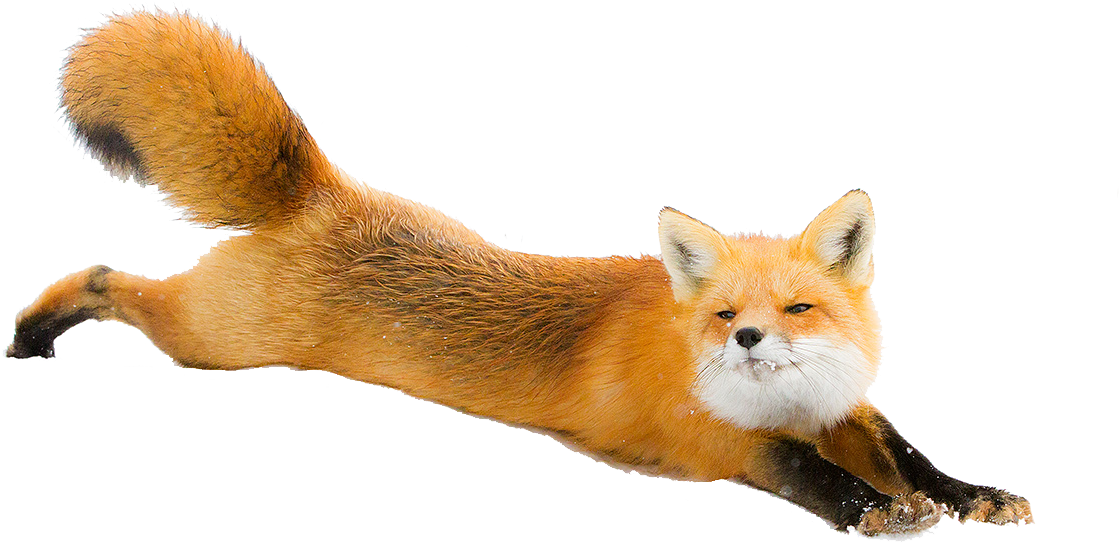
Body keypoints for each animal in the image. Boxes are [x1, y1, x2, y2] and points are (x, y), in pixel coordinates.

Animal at [7, 8, 1033, 539]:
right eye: (722, 315)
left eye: (798, 306)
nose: (747, 337)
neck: (782, 400)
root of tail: (322, 190)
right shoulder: (717, 439)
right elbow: (801, 472)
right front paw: (877, 511)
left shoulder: (842, 409)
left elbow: (912, 454)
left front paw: (967, 495)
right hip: (213, 342)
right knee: (104, 275)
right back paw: (33, 331)